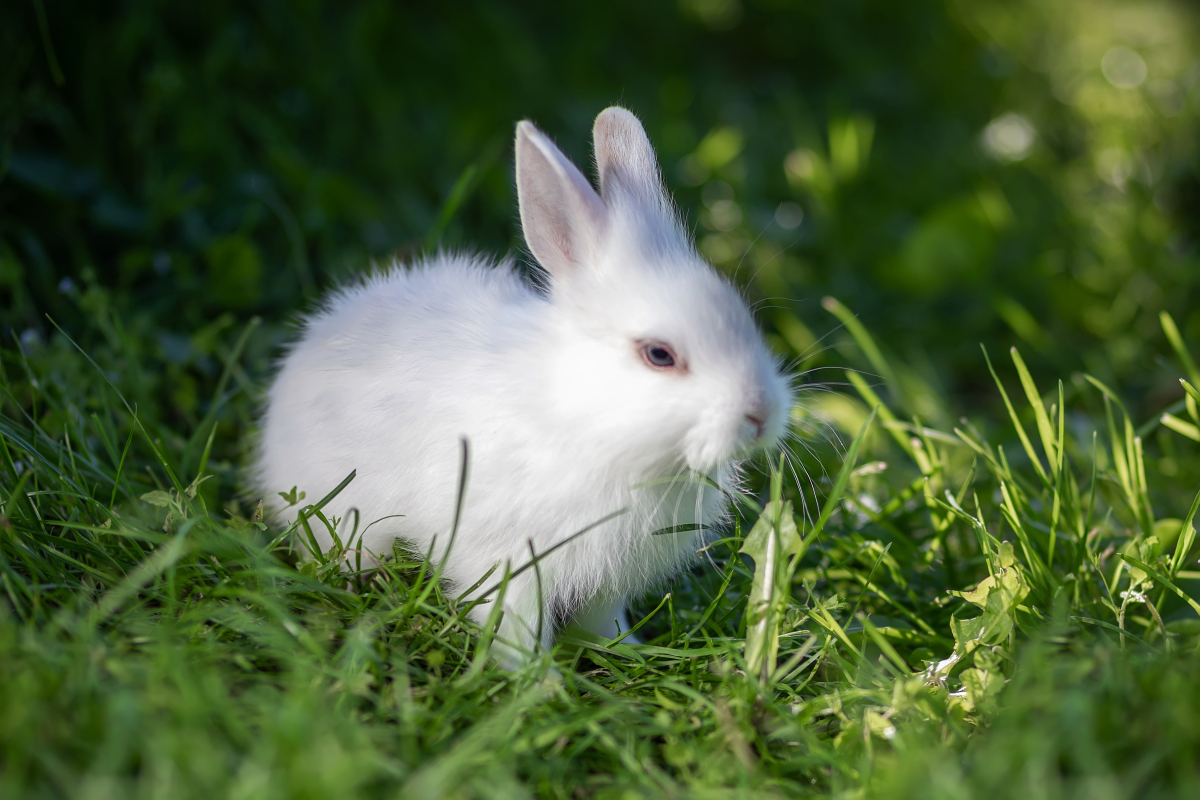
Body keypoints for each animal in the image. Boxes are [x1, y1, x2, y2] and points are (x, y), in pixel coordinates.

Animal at [255, 107, 787, 671]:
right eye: (659, 355)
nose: (761, 414)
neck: (585, 421)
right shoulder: (508, 563)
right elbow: (515, 623)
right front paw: (531, 676)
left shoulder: (608, 583)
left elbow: (602, 621)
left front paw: (625, 651)